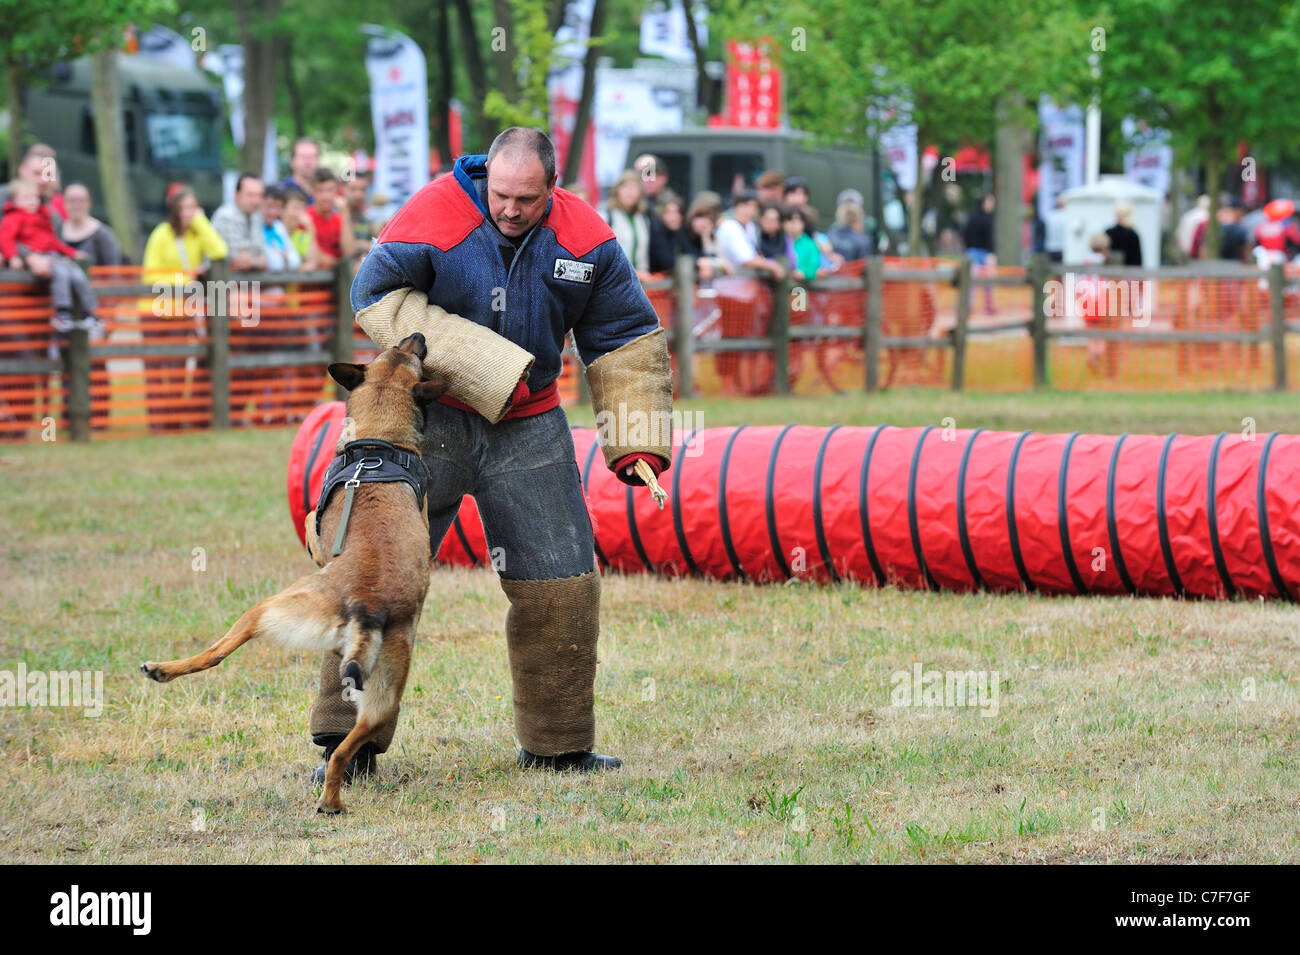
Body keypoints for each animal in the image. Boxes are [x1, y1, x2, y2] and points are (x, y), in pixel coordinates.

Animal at [141, 335, 447, 815]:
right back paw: (332, 802)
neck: (379, 444)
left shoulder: (315, 530)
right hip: (384, 693)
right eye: (402, 348)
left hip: (268, 608)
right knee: (345, 749)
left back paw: (162, 669)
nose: (419, 336)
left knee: (216, 651)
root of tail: (369, 604)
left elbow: (306, 519)